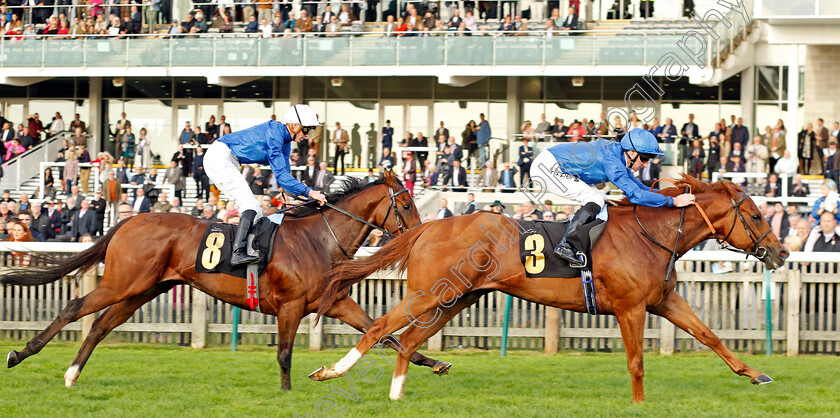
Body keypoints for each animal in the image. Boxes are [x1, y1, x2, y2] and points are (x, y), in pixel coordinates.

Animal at [1, 169, 452, 388]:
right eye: (406, 204)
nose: (420, 232)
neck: (318, 237)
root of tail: (129, 219)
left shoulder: (336, 303)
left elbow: (384, 333)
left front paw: (435, 363)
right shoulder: (289, 306)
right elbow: (284, 354)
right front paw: (286, 394)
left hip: (143, 289)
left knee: (100, 325)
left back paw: (72, 374)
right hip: (122, 283)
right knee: (75, 308)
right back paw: (20, 354)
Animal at [306, 176, 788, 402]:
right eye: (757, 216)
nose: (782, 253)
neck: (652, 234)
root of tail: (429, 227)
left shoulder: (664, 301)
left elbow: (710, 335)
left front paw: (756, 374)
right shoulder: (630, 308)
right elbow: (636, 363)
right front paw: (639, 404)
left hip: (457, 298)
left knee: (406, 341)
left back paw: (396, 393)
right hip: (427, 294)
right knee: (379, 329)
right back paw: (330, 372)